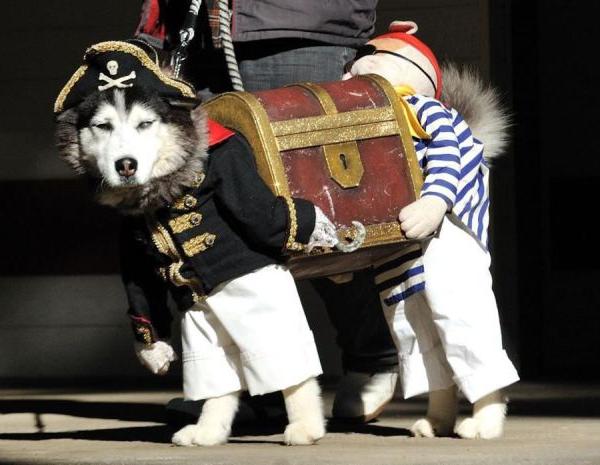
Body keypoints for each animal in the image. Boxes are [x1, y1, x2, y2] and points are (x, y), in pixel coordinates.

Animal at [54, 40, 338, 446]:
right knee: (219, 376)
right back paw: (207, 431)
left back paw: (305, 426)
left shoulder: (235, 172)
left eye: (145, 124)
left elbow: (267, 215)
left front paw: (319, 227)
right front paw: (152, 349)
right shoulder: (132, 241)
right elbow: (141, 286)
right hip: (203, 325)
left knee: (285, 360)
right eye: (102, 126)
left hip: (262, 306)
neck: (161, 190)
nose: (126, 165)